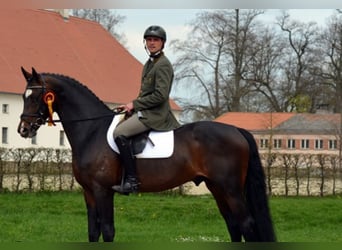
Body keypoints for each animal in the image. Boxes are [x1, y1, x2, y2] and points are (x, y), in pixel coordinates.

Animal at [17, 67, 276, 241]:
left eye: (37, 96)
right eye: (22, 96)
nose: (23, 130)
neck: (92, 131)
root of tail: (236, 129)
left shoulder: (103, 191)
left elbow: (108, 231)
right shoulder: (88, 192)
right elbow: (93, 231)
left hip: (231, 189)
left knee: (247, 225)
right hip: (217, 187)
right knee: (234, 225)